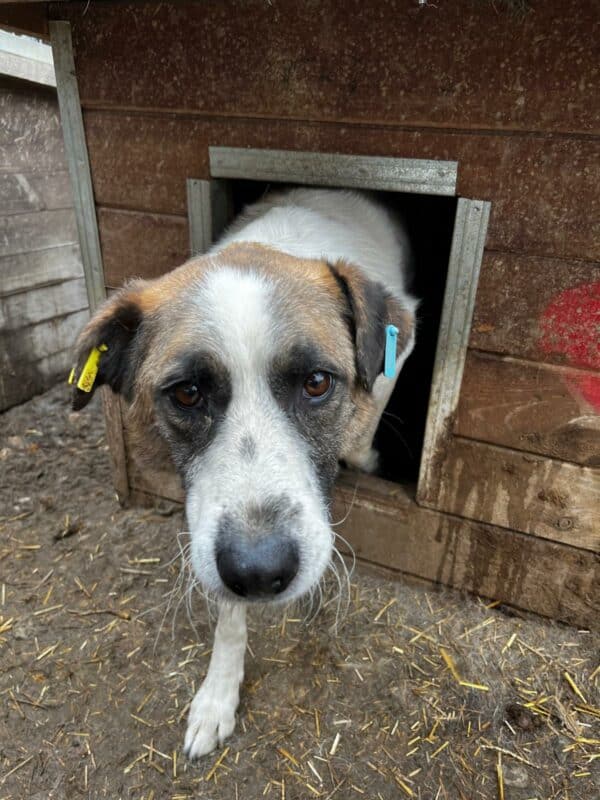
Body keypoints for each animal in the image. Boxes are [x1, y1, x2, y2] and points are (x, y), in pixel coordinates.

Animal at [70, 188, 418, 756]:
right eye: (187, 393)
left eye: (317, 382)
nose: (258, 572)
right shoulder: (208, 531)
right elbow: (228, 616)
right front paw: (218, 695)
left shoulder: (400, 348)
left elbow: (366, 421)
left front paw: (363, 457)